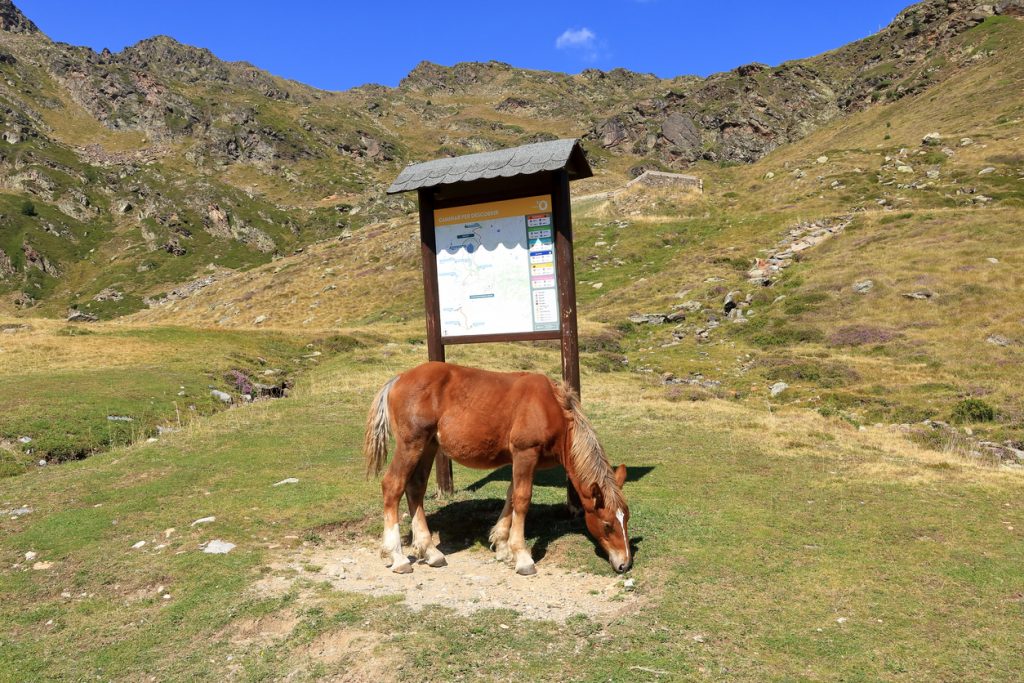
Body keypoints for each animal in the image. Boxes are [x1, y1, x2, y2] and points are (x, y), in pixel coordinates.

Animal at [363, 361, 632, 576]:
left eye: (626, 519)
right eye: (607, 524)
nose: (625, 564)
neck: (550, 407)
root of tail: (398, 379)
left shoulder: (519, 459)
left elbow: (511, 497)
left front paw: (502, 545)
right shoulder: (525, 454)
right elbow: (522, 499)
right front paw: (522, 556)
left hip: (428, 446)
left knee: (415, 488)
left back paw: (430, 551)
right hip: (411, 444)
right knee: (393, 486)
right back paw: (398, 557)